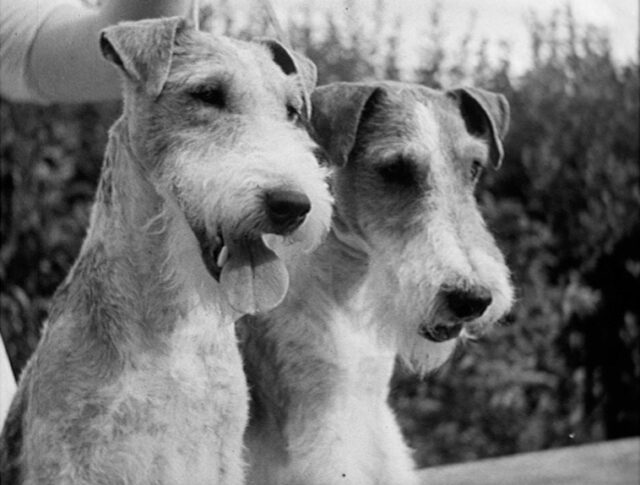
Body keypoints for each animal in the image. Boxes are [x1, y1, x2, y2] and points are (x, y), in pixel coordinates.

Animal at [1, 17, 336, 482]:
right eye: (208, 93)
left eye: (291, 110)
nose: (292, 205)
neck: (171, 324)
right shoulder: (67, 457)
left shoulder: (223, 454)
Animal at [240, 81, 516, 482]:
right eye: (395, 169)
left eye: (475, 167)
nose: (472, 298)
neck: (348, 292)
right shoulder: (320, 418)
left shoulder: (371, 405)